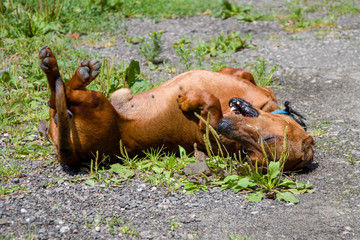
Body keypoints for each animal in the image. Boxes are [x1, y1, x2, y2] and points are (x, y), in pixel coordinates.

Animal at [39, 45, 314, 171]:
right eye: (268, 138)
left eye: (251, 154)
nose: (224, 127)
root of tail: (69, 155)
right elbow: (241, 74)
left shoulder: (209, 130)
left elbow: (210, 103)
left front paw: (191, 99)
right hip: (112, 95)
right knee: (56, 97)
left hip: (97, 103)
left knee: (60, 95)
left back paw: (60, 68)